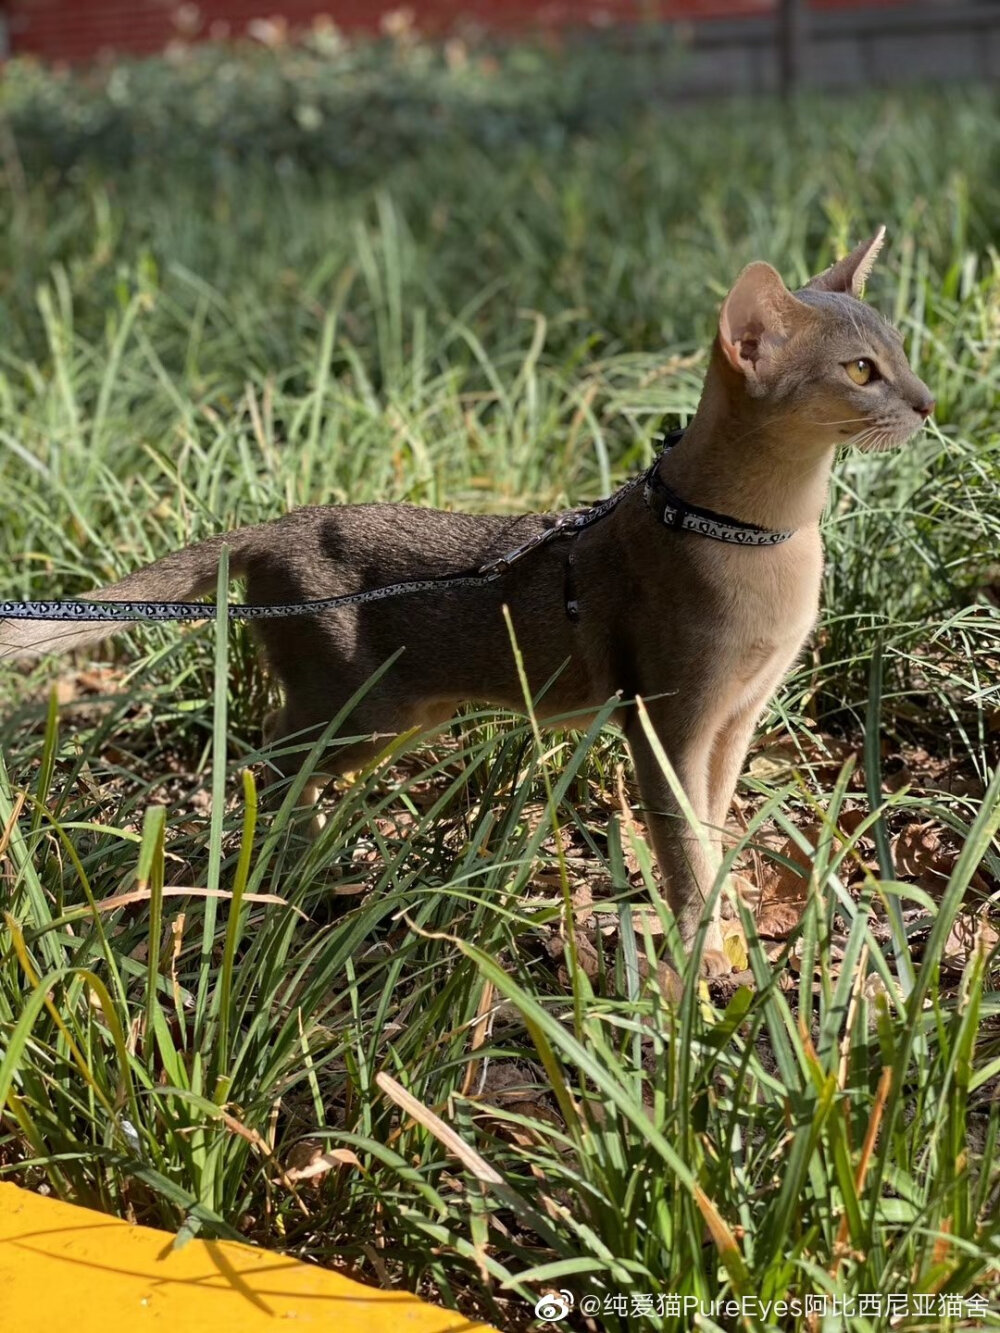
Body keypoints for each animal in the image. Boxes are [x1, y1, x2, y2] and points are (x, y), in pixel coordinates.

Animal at [1, 229, 938, 975]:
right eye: (861, 371)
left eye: (902, 352)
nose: (930, 403)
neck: (756, 535)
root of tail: (277, 524)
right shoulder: (667, 720)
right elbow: (680, 848)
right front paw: (703, 959)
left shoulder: (736, 717)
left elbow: (709, 829)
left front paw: (731, 927)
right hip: (359, 709)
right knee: (256, 763)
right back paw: (276, 863)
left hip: (396, 717)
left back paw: (309, 858)